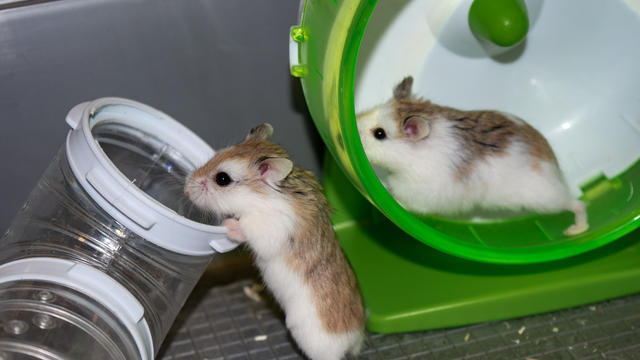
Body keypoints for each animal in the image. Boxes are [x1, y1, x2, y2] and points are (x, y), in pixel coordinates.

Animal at [185, 124, 364, 360]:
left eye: (222, 179)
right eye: (216, 155)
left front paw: (229, 223)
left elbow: (246, 229)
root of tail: (355, 338)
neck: (261, 196)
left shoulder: (269, 228)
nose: (186, 188)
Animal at [358, 76, 588, 236]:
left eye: (380, 134)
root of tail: (555, 166)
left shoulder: (419, 193)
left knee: (577, 204)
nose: (352, 129)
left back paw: (575, 230)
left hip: (547, 199)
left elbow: (404, 202)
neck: (409, 158)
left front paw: (388, 201)